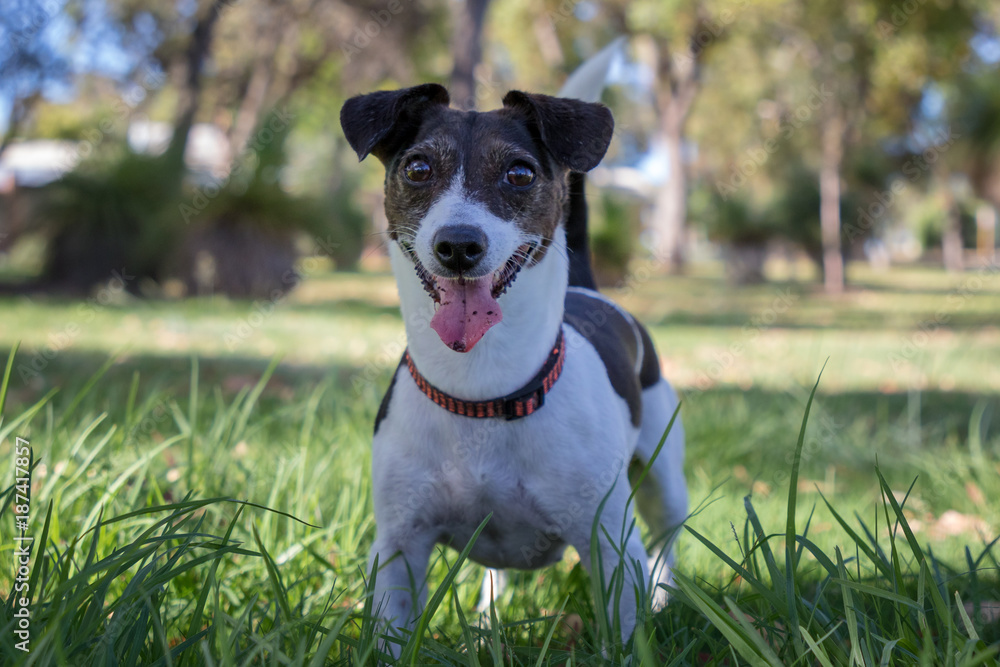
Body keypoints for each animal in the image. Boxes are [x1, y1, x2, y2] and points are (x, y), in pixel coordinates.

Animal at [338, 83, 688, 652]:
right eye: (417, 168)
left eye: (520, 173)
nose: (458, 244)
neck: (483, 391)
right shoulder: (398, 545)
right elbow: (392, 632)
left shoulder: (608, 542)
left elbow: (624, 631)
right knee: (495, 579)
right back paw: (486, 627)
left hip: (665, 483)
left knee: (665, 544)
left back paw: (663, 596)